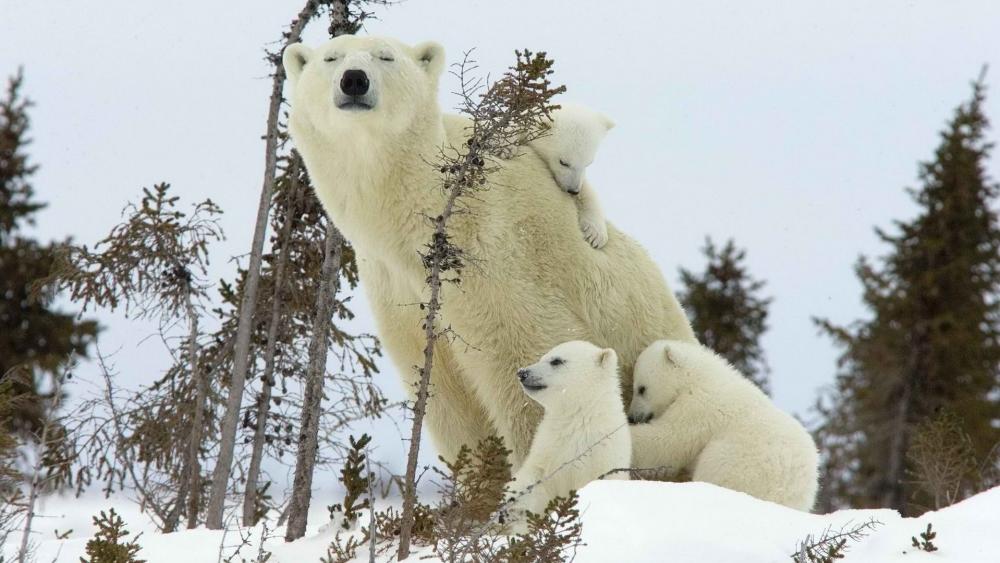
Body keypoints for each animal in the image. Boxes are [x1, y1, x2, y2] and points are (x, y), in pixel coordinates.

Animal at [508, 340, 632, 520]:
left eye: (556, 361)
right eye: (542, 357)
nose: (522, 372)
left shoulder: (603, 454)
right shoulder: (548, 446)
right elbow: (535, 477)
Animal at [528, 103, 612, 249]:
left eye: (588, 163)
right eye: (563, 162)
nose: (573, 191)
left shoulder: (580, 177)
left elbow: (588, 192)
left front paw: (596, 235)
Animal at [628, 340, 816, 512]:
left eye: (641, 389)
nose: (632, 416)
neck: (698, 377)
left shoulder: (699, 407)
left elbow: (668, 440)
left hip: (739, 464)